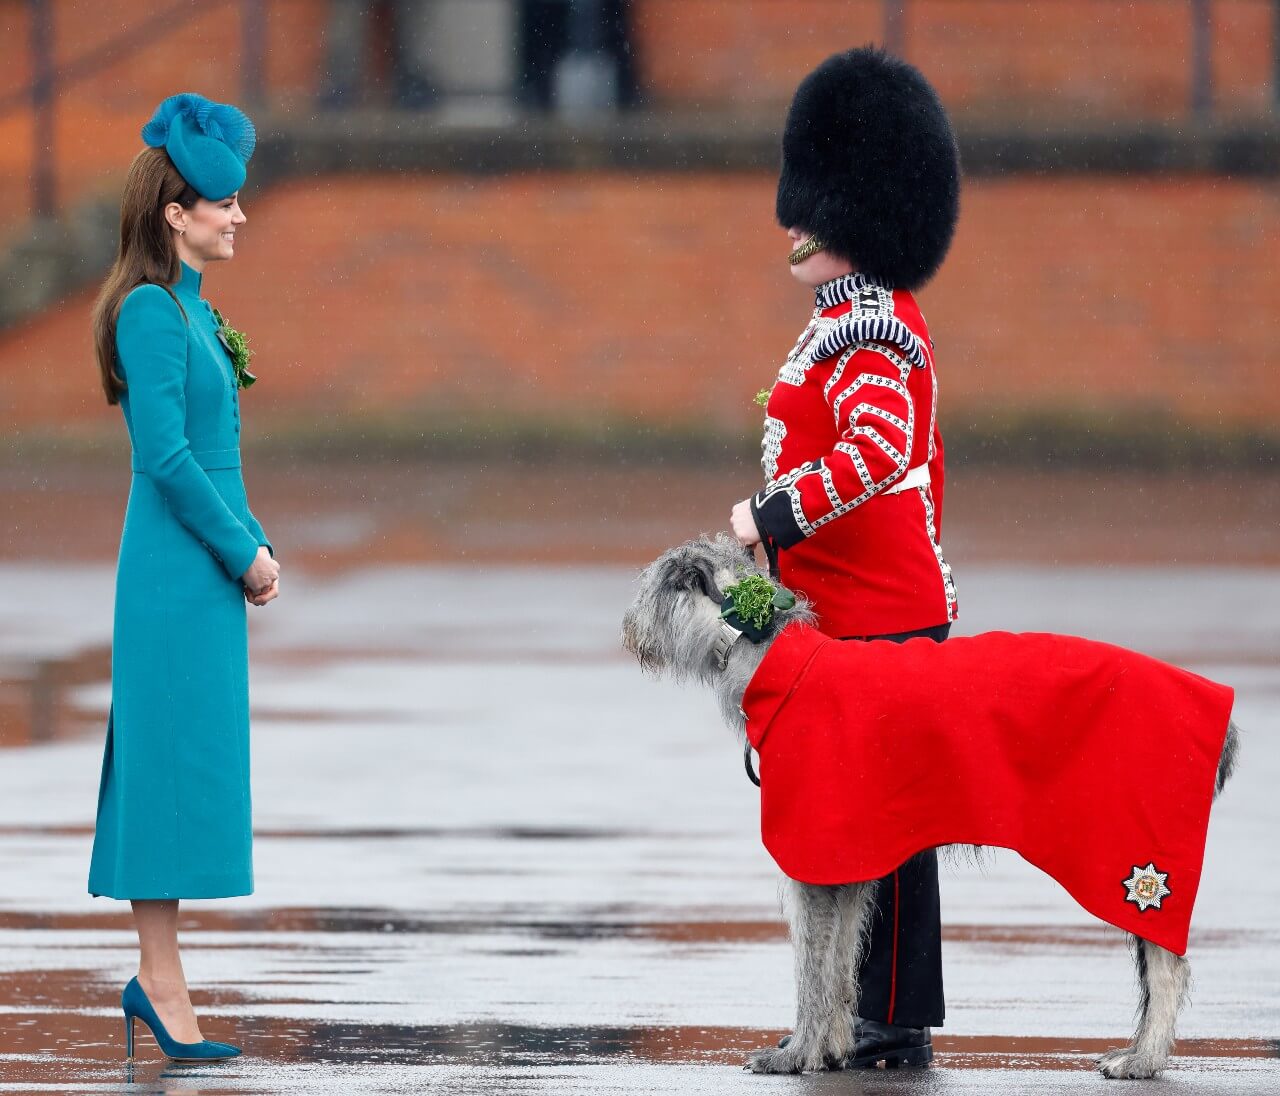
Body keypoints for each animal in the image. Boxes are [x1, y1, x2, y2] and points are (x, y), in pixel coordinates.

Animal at [619, 535, 1239, 1075]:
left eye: (655, 585)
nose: (627, 630)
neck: (772, 655)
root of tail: (1218, 713)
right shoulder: (849, 861)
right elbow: (841, 962)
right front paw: (835, 1047)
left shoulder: (812, 853)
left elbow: (811, 969)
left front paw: (796, 1054)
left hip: (1138, 864)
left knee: (1167, 966)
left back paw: (1144, 1059)